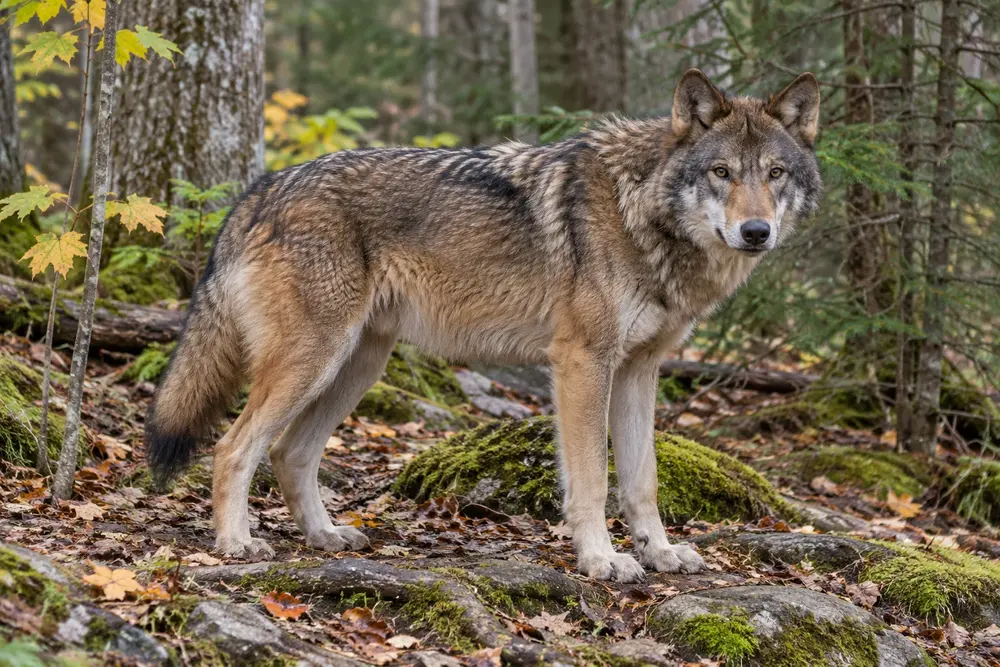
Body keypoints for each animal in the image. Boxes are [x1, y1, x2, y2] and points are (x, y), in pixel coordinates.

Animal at [146, 69, 821, 582]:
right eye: (722, 173)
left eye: (775, 174)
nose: (755, 232)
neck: (644, 215)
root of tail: (258, 191)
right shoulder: (582, 363)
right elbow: (591, 482)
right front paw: (602, 560)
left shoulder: (638, 370)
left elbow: (641, 481)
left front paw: (659, 553)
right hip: (314, 360)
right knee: (234, 447)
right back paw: (237, 543)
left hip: (357, 366)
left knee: (290, 452)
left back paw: (326, 536)